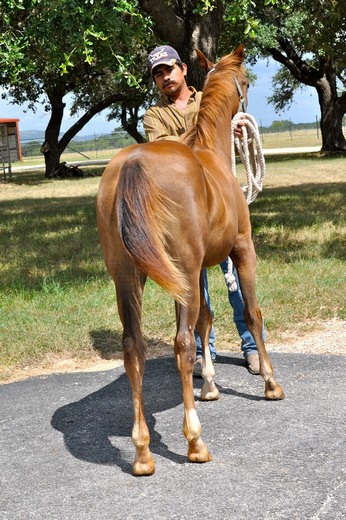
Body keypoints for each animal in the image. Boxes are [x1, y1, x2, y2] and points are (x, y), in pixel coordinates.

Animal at [95, 44, 284, 476]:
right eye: (246, 81)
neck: (208, 154)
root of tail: (132, 165)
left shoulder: (197, 272)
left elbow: (206, 322)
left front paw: (210, 386)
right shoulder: (241, 251)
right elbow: (251, 313)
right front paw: (270, 384)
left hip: (128, 280)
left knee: (134, 348)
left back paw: (143, 452)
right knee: (181, 345)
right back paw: (195, 441)